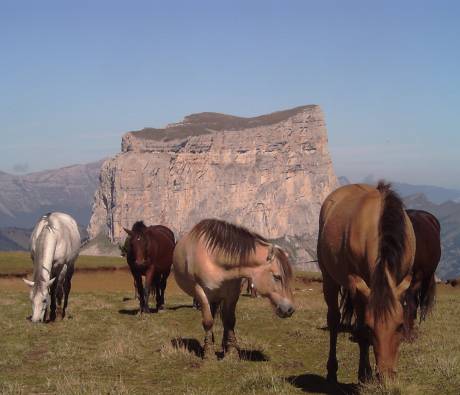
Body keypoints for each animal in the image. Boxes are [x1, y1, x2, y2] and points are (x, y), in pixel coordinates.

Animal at [172, 218, 294, 360]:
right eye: (277, 277)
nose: (290, 310)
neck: (215, 258)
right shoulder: (201, 292)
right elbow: (208, 322)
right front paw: (208, 353)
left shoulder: (233, 294)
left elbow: (229, 320)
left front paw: (231, 352)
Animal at [318, 183, 416, 384]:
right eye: (371, 329)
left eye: (400, 326)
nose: (386, 377)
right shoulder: (358, 288)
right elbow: (361, 330)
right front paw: (364, 374)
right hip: (329, 279)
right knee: (334, 319)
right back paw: (332, 372)